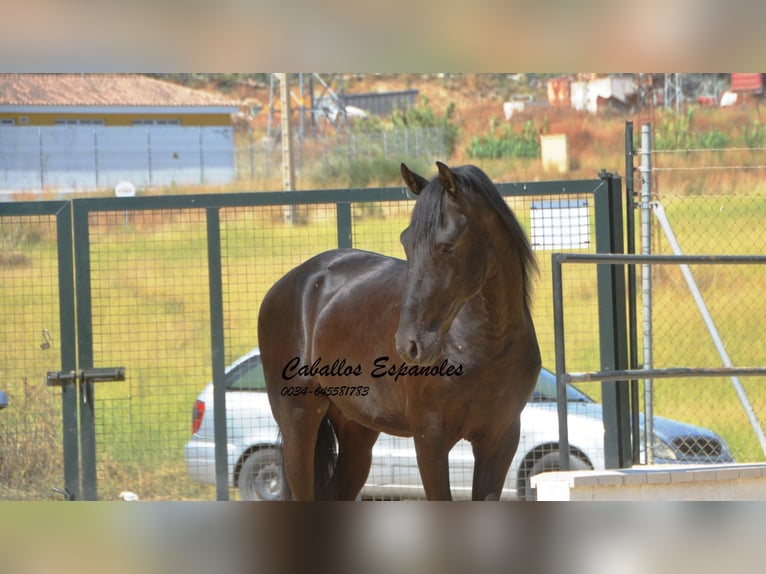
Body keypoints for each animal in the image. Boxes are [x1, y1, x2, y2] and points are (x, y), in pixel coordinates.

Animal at [260, 161, 544, 500]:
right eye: (406, 242)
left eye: (448, 246)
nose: (410, 344)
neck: (484, 345)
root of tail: (290, 283)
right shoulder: (430, 441)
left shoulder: (500, 441)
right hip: (299, 422)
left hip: (357, 432)